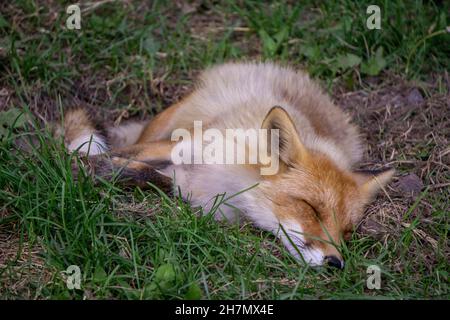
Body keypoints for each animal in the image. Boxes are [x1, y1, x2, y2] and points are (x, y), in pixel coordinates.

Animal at [57, 62, 394, 268]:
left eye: (347, 232)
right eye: (310, 208)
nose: (336, 263)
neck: (233, 182)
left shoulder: (182, 183)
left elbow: (147, 175)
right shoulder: (181, 145)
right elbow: (120, 158)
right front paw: (77, 166)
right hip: (168, 124)